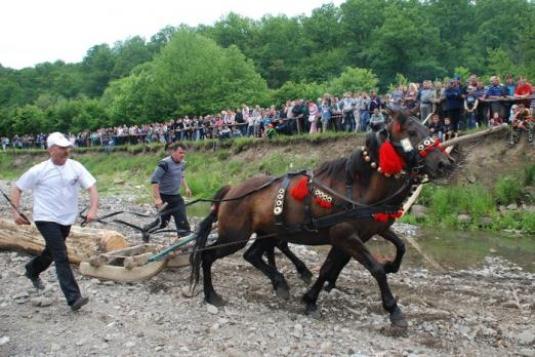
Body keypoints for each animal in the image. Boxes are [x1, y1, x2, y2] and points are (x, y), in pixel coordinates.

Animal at [191, 109, 454, 328]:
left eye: (430, 131)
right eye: (412, 132)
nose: (445, 163)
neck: (356, 187)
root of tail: (232, 189)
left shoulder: (359, 233)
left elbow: (390, 249)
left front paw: (310, 299)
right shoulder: (346, 236)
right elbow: (374, 269)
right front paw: (394, 310)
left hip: (267, 233)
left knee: (253, 255)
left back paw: (280, 283)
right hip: (234, 235)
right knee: (208, 255)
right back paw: (211, 295)